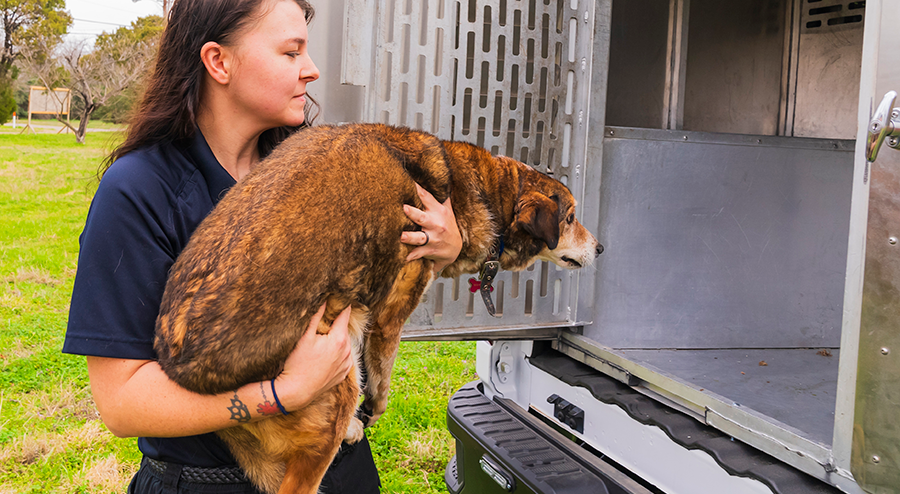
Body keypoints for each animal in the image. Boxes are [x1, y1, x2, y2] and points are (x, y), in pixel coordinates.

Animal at [156, 123, 604, 494]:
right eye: (571, 218)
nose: (600, 248)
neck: (481, 189)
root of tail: (185, 368)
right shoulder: (390, 313)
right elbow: (383, 374)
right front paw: (375, 408)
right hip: (339, 378)